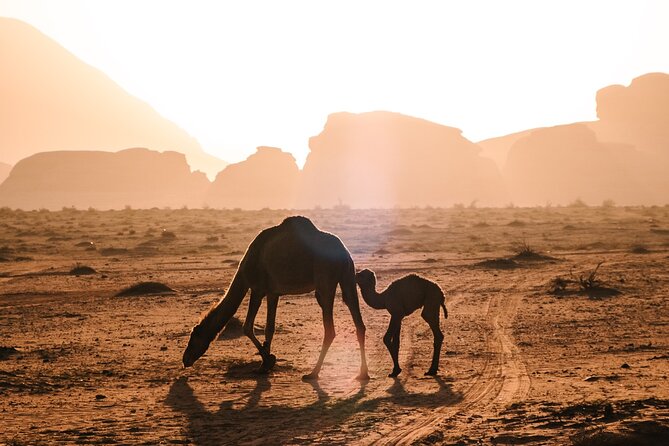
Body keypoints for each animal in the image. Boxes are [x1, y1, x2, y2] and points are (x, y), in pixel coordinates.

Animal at [183, 215, 370, 380]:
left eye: (193, 337)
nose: (185, 359)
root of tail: (344, 252)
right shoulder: (273, 293)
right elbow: (269, 328)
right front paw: (266, 363)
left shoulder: (257, 288)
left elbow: (247, 327)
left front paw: (267, 361)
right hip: (348, 277)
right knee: (359, 323)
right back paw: (362, 373)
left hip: (325, 280)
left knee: (330, 329)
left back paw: (313, 373)